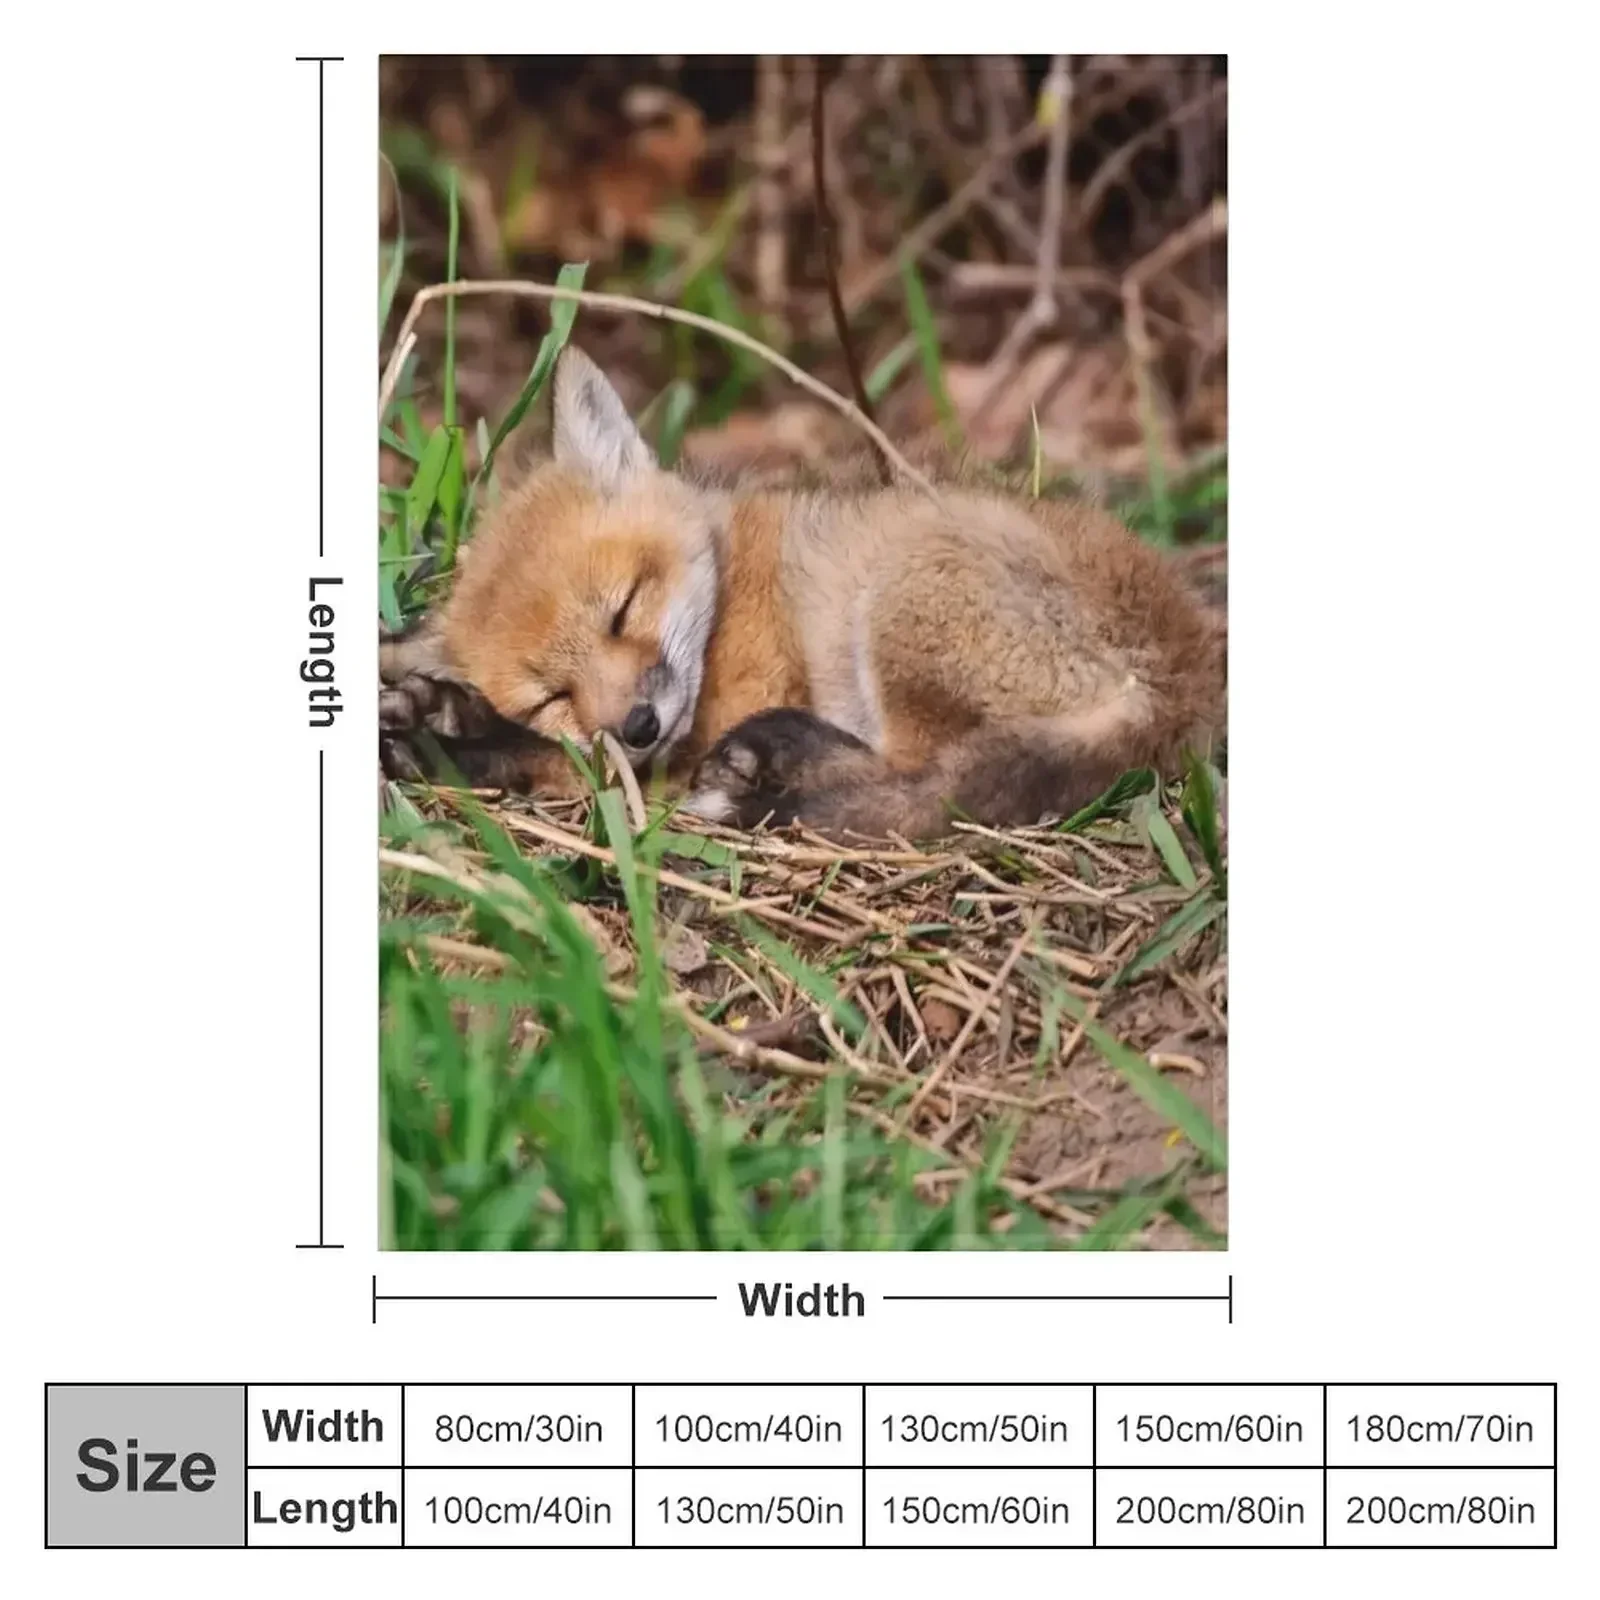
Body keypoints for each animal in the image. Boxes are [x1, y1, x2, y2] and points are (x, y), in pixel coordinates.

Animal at [380, 346, 1226, 839]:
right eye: (551, 694)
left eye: (624, 608)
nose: (639, 724)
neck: (732, 564)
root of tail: (1184, 680)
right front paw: (440, 710)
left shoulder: (720, 711)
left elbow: (563, 764)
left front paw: (451, 746)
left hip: (899, 601)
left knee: (919, 783)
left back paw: (772, 774)